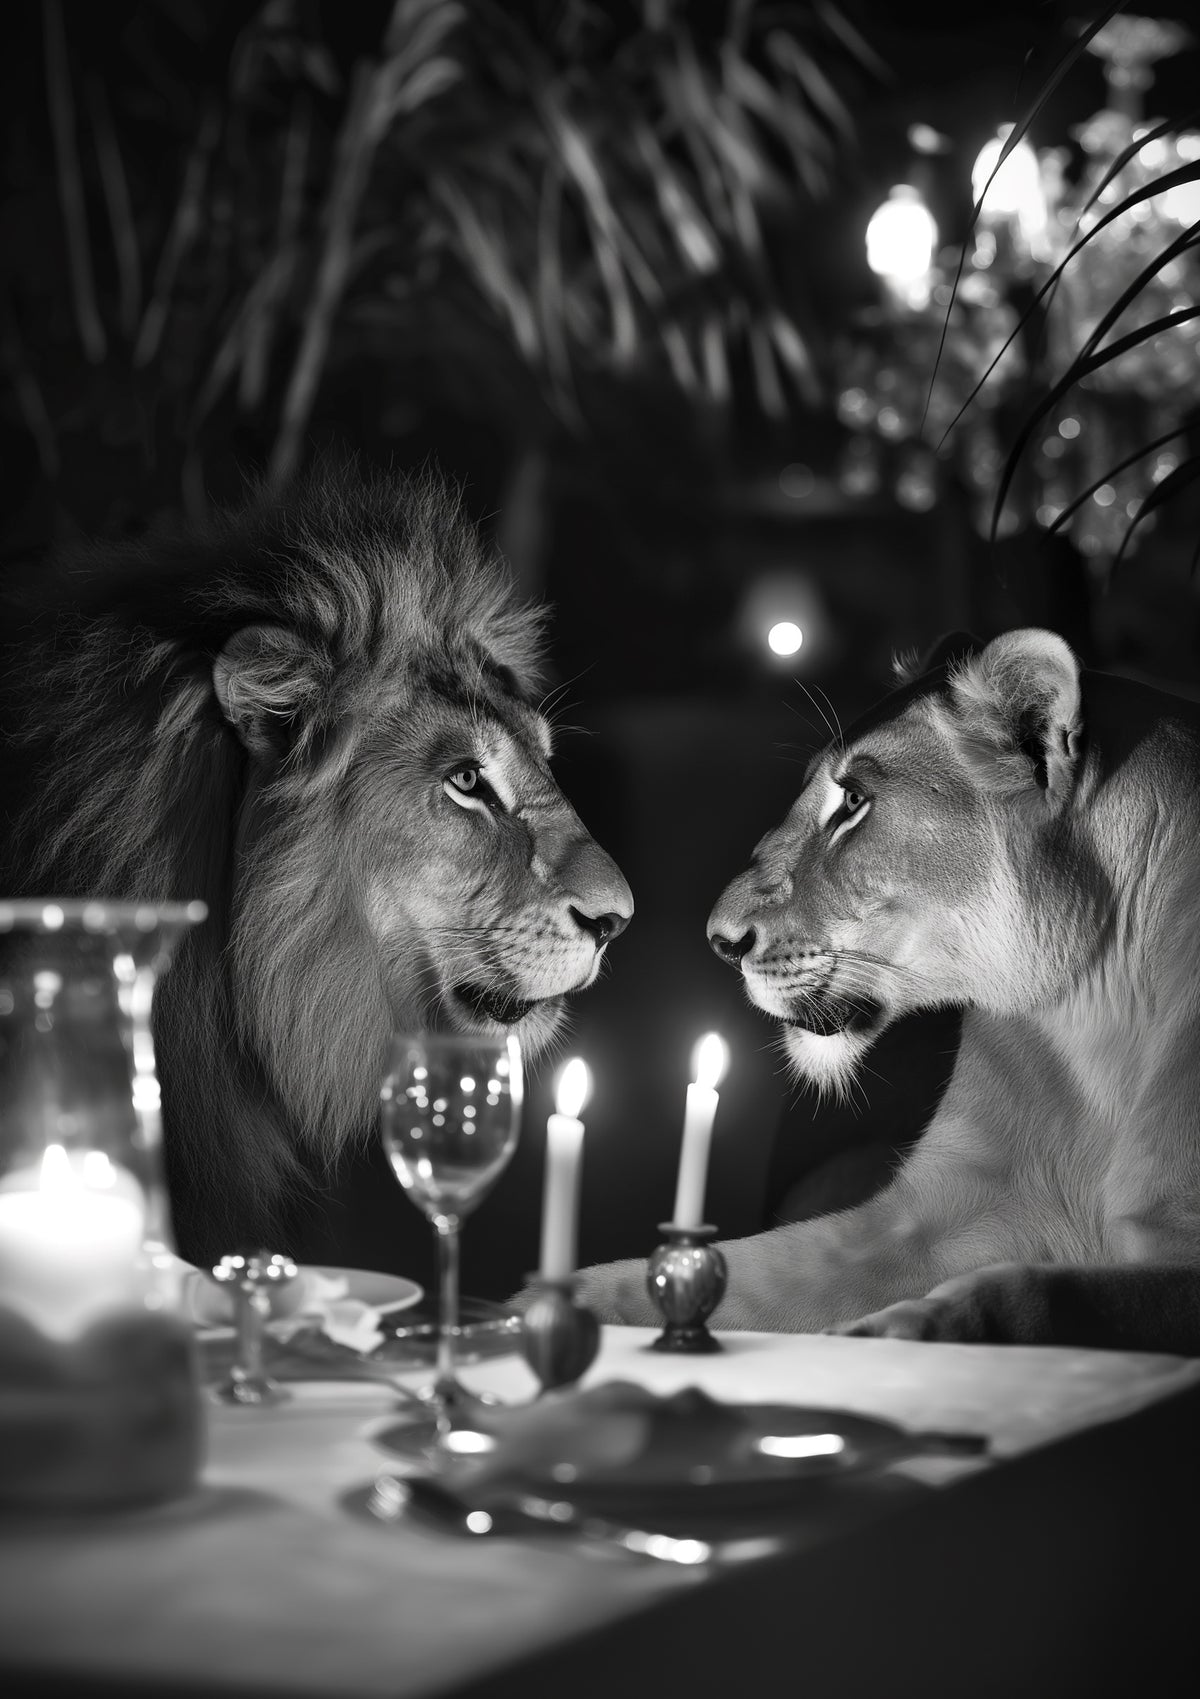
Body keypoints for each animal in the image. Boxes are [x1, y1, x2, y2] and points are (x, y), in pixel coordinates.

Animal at [574, 628, 1200, 1352]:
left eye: (852, 802)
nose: (721, 941)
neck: (1093, 1011)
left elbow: (1043, 1291)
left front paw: (903, 1327)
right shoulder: (919, 1217)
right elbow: (709, 1269)